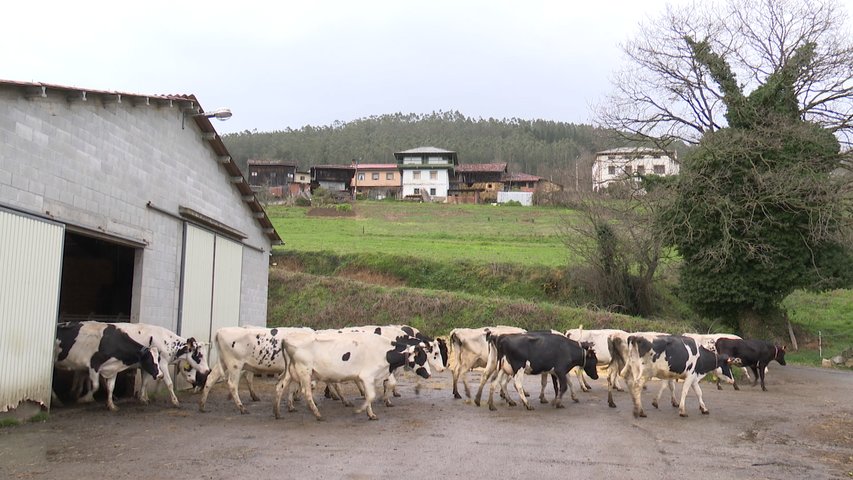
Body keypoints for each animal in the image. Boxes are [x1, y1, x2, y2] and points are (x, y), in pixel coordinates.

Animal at [274, 330, 432, 420]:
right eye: (421, 358)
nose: (429, 374)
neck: (384, 351)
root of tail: (287, 338)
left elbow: (374, 392)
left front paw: (371, 413)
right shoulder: (367, 376)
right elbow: (371, 395)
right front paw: (361, 410)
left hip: (291, 371)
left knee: (280, 387)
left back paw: (278, 412)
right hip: (305, 371)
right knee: (306, 392)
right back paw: (317, 414)